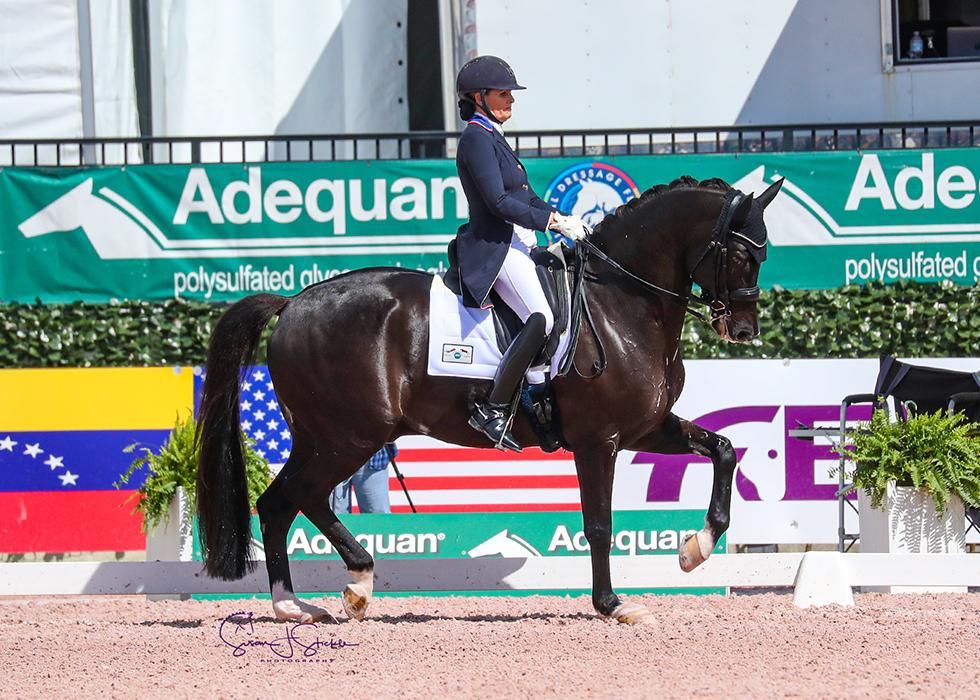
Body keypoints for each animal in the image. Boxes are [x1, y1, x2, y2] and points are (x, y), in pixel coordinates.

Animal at [196, 175, 783, 625]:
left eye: (764, 252)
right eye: (739, 252)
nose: (745, 330)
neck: (620, 304)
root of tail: (292, 302)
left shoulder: (645, 428)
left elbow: (724, 449)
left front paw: (695, 549)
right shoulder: (599, 440)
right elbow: (599, 524)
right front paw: (613, 604)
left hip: (328, 437)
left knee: (291, 501)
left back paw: (330, 595)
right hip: (348, 436)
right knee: (288, 500)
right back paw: (315, 598)